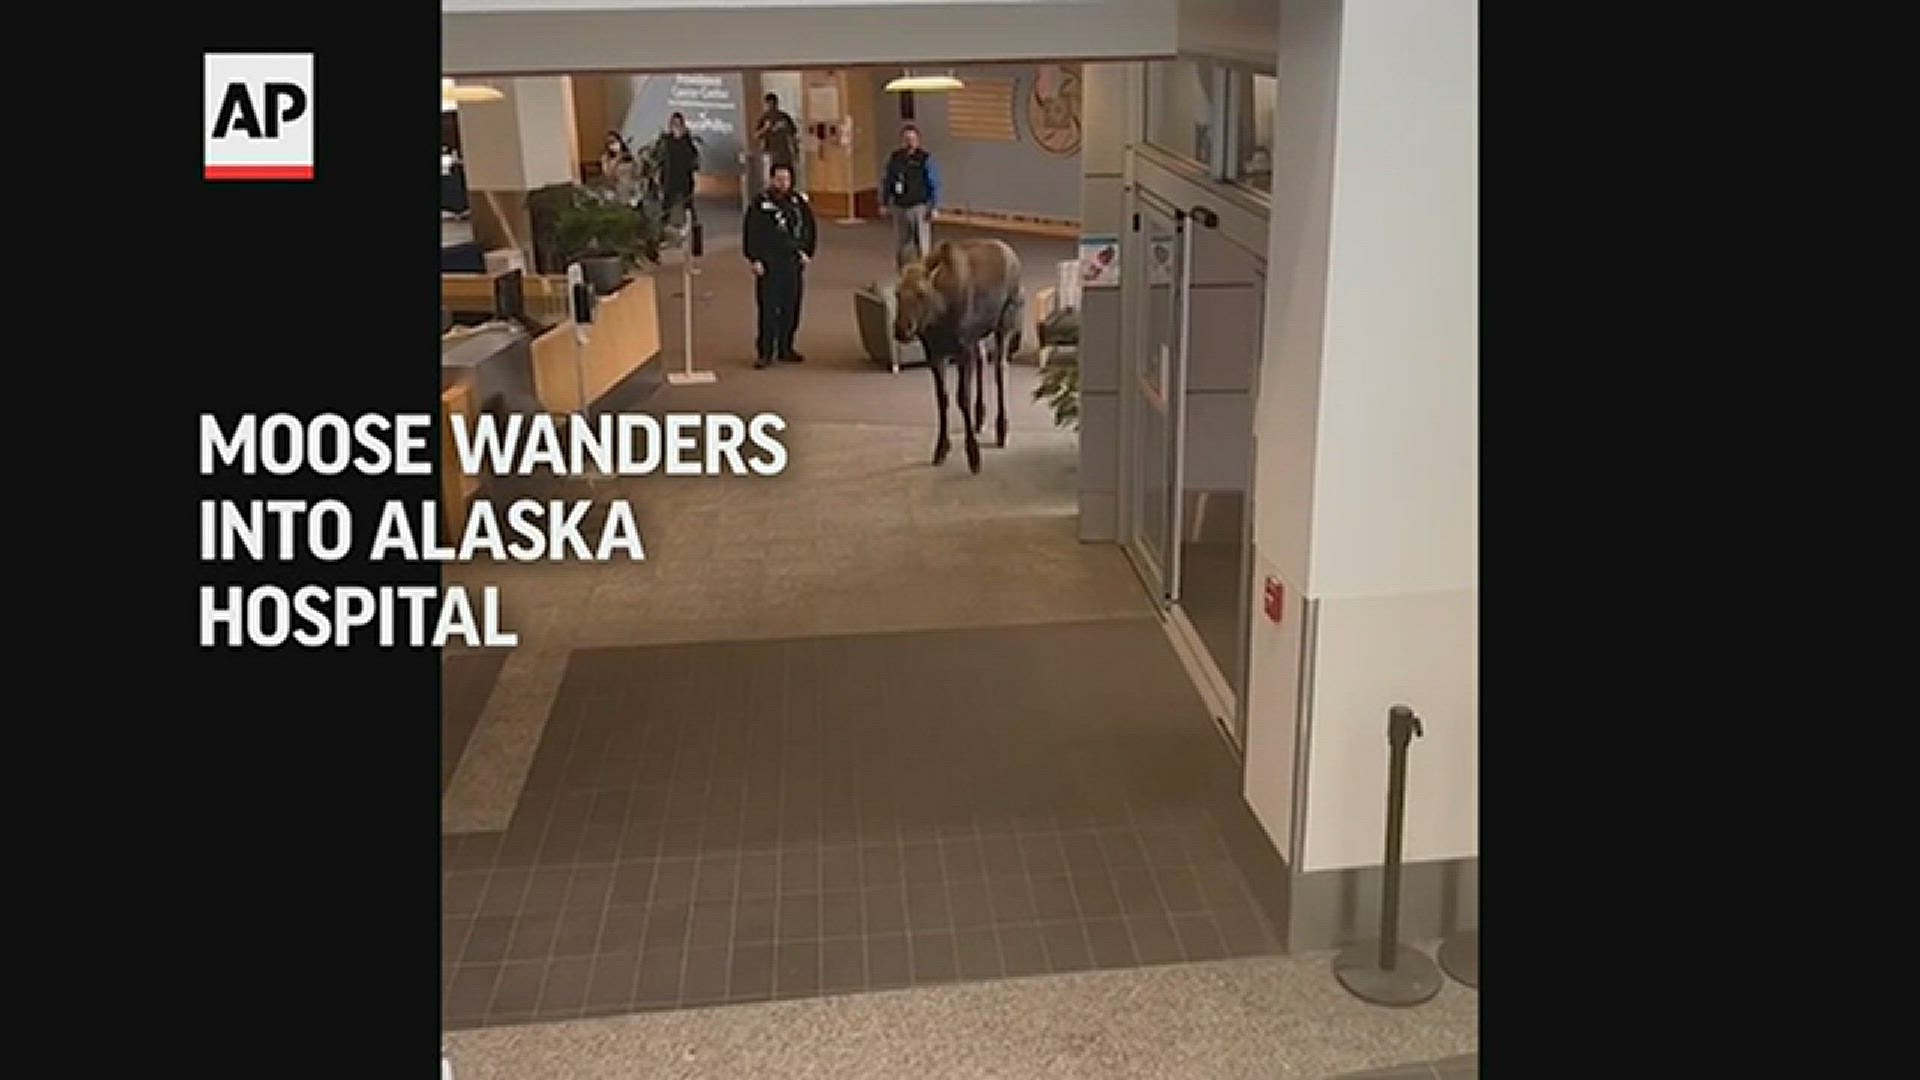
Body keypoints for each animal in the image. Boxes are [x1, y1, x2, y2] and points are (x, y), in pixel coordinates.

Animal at [894, 239, 1029, 470]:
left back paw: (1002, 429)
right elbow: (942, 398)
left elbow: (962, 398)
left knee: (1000, 368)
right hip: (979, 335)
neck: (938, 318)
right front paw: (941, 447)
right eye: (897, 293)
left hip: (1005, 323)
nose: (902, 330)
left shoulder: (962, 351)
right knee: (982, 359)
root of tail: (1011, 253)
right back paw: (979, 417)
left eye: (921, 293)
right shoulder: (936, 354)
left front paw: (973, 455)